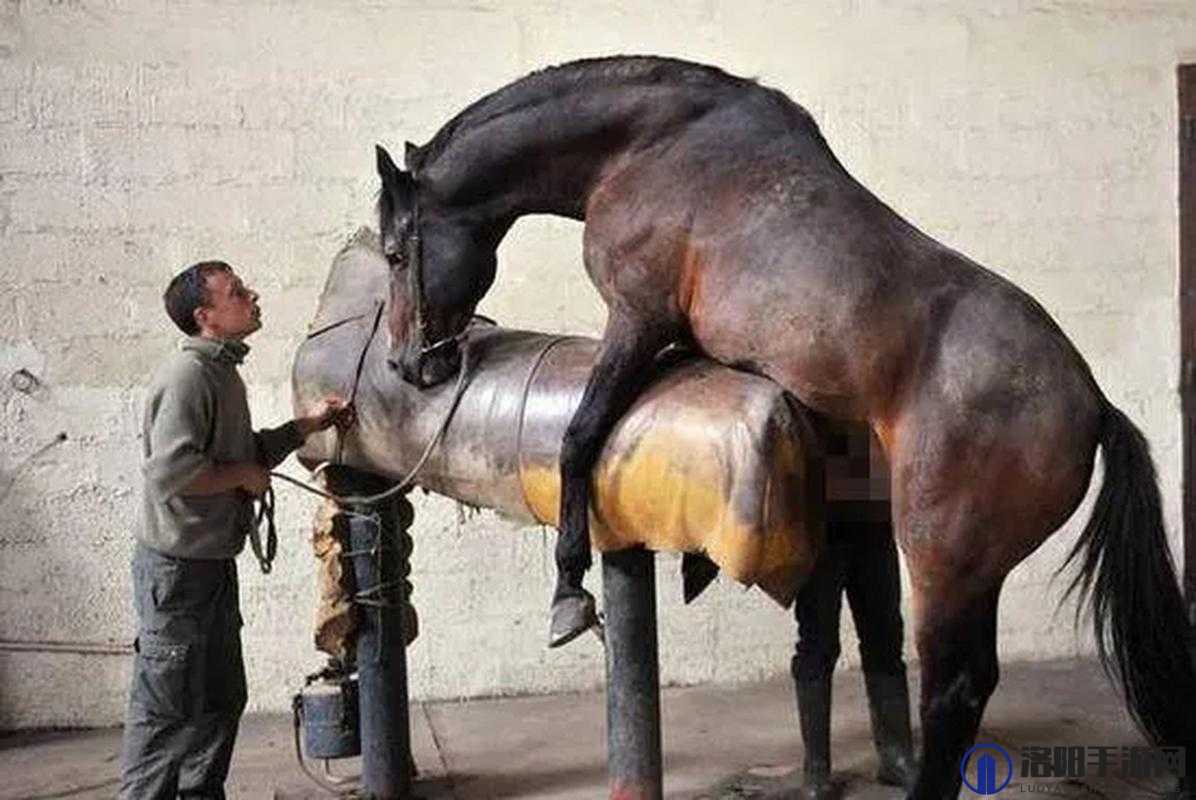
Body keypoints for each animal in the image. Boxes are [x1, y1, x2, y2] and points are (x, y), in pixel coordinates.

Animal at [374, 56, 1195, 798]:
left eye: (394, 250)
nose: (410, 364)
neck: (646, 145)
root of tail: (1091, 403)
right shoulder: (683, 344)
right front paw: (696, 567)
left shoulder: (637, 320)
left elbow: (580, 439)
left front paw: (569, 593)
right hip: (973, 573)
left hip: (945, 562)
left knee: (952, 690)